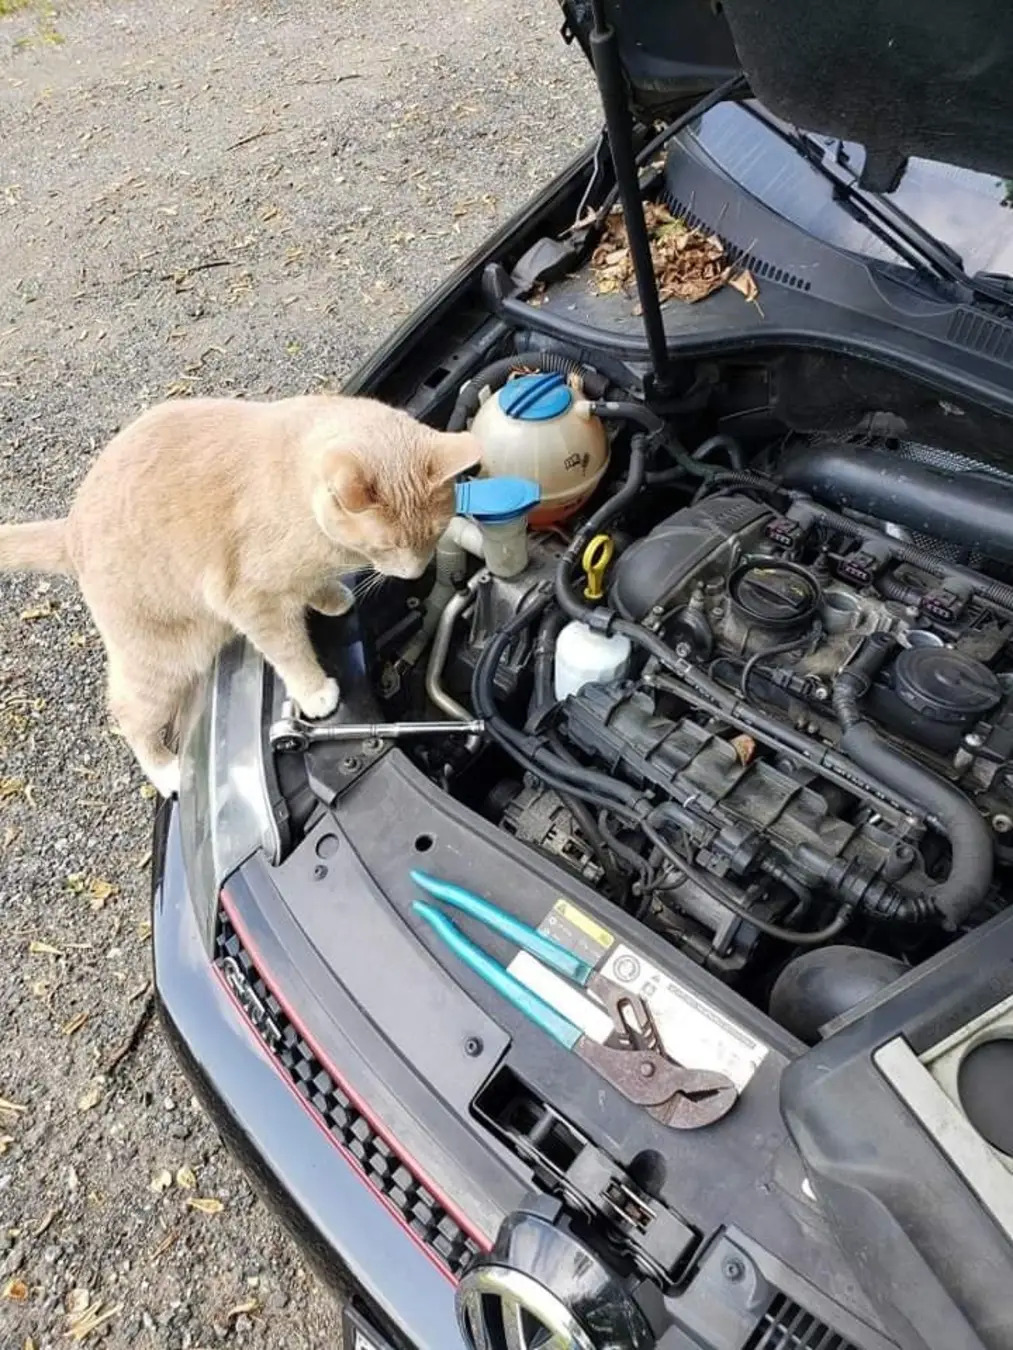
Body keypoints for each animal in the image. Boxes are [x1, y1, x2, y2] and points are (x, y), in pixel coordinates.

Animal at [0, 394, 480, 788]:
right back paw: (166, 770)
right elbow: (289, 649)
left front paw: (330, 598)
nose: (414, 571)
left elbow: (312, 586)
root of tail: (70, 528)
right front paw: (315, 693)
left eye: (434, 535)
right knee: (128, 712)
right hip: (164, 658)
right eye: (385, 547)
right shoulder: (251, 601)